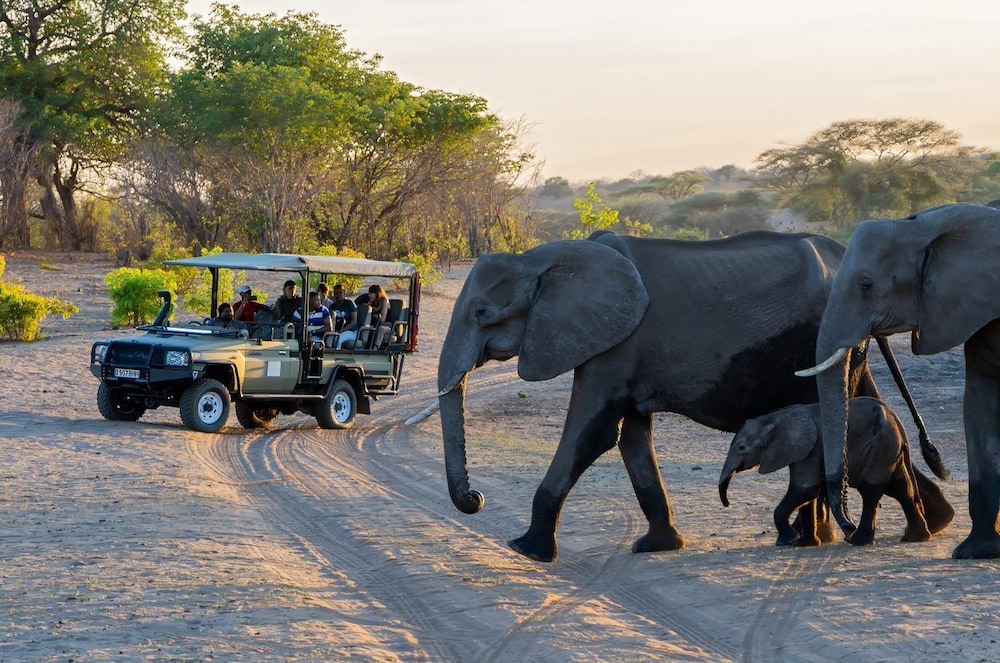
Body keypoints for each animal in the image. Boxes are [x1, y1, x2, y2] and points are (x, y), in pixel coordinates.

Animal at [720, 397, 939, 547]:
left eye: (741, 448)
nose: (727, 503)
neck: (775, 417)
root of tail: (897, 422)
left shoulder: (811, 447)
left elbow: (804, 489)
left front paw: (788, 541)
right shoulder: (804, 449)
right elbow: (807, 494)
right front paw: (804, 544)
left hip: (881, 447)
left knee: (871, 490)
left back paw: (857, 540)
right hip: (888, 450)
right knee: (901, 489)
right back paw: (915, 538)